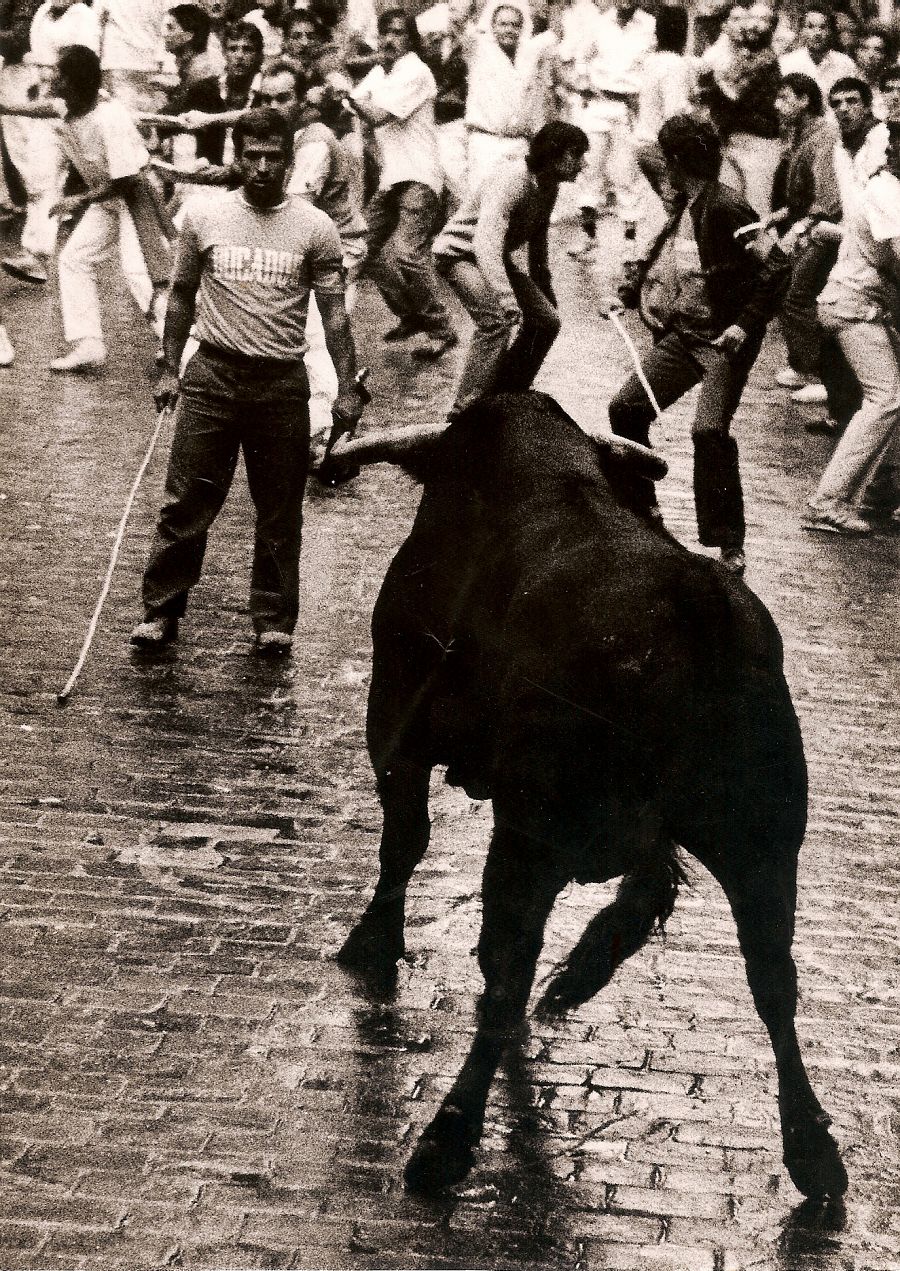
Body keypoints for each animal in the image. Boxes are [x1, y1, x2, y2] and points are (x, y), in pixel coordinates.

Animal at [333, 394, 849, 1199]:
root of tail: (693, 607)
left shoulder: (398, 725)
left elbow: (405, 846)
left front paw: (373, 942)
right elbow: (648, 888)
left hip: (528, 835)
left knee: (505, 972)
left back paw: (447, 1137)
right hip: (763, 843)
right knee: (771, 980)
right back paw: (813, 1149)